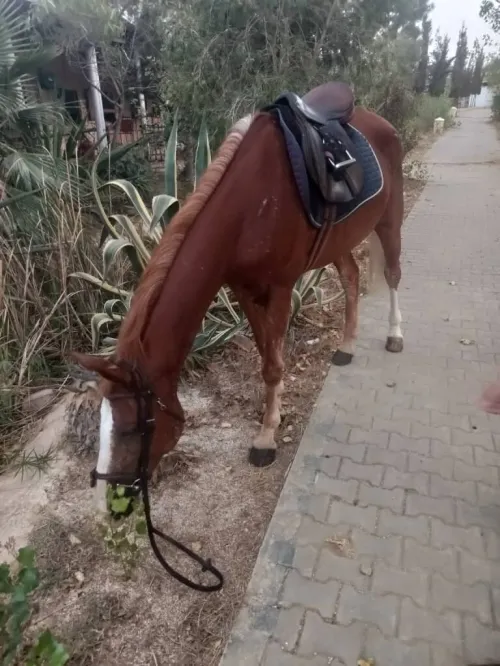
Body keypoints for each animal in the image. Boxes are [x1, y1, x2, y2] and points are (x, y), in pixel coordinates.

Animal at [72, 82, 404, 506]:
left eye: (134, 427)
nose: (110, 503)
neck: (249, 208)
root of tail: (381, 122)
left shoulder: (281, 288)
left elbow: (274, 365)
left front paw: (266, 438)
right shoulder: (245, 290)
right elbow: (266, 359)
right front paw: (271, 418)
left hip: (390, 219)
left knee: (393, 274)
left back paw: (395, 335)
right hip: (339, 240)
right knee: (351, 277)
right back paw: (346, 345)